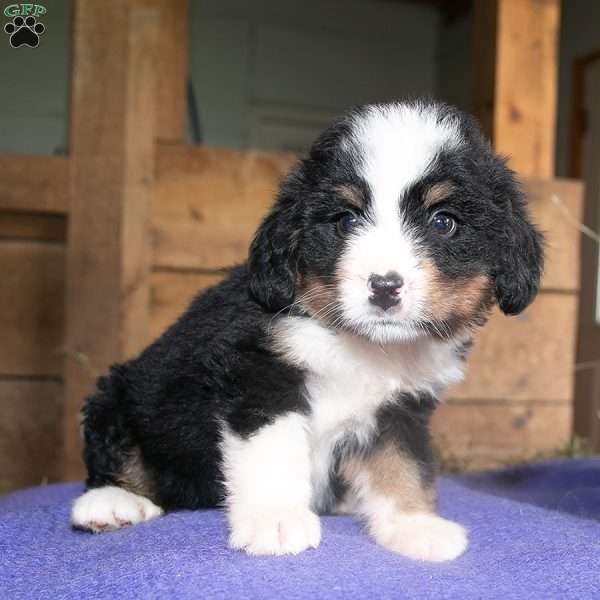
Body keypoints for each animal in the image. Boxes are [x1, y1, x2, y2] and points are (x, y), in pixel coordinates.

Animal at [71, 99, 544, 564]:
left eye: (443, 222)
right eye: (346, 220)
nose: (384, 286)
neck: (358, 344)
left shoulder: (400, 409)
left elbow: (402, 465)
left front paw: (414, 526)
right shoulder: (260, 375)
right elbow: (272, 450)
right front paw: (275, 520)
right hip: (117, 395)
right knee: (113, 455)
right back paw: (111, 502)